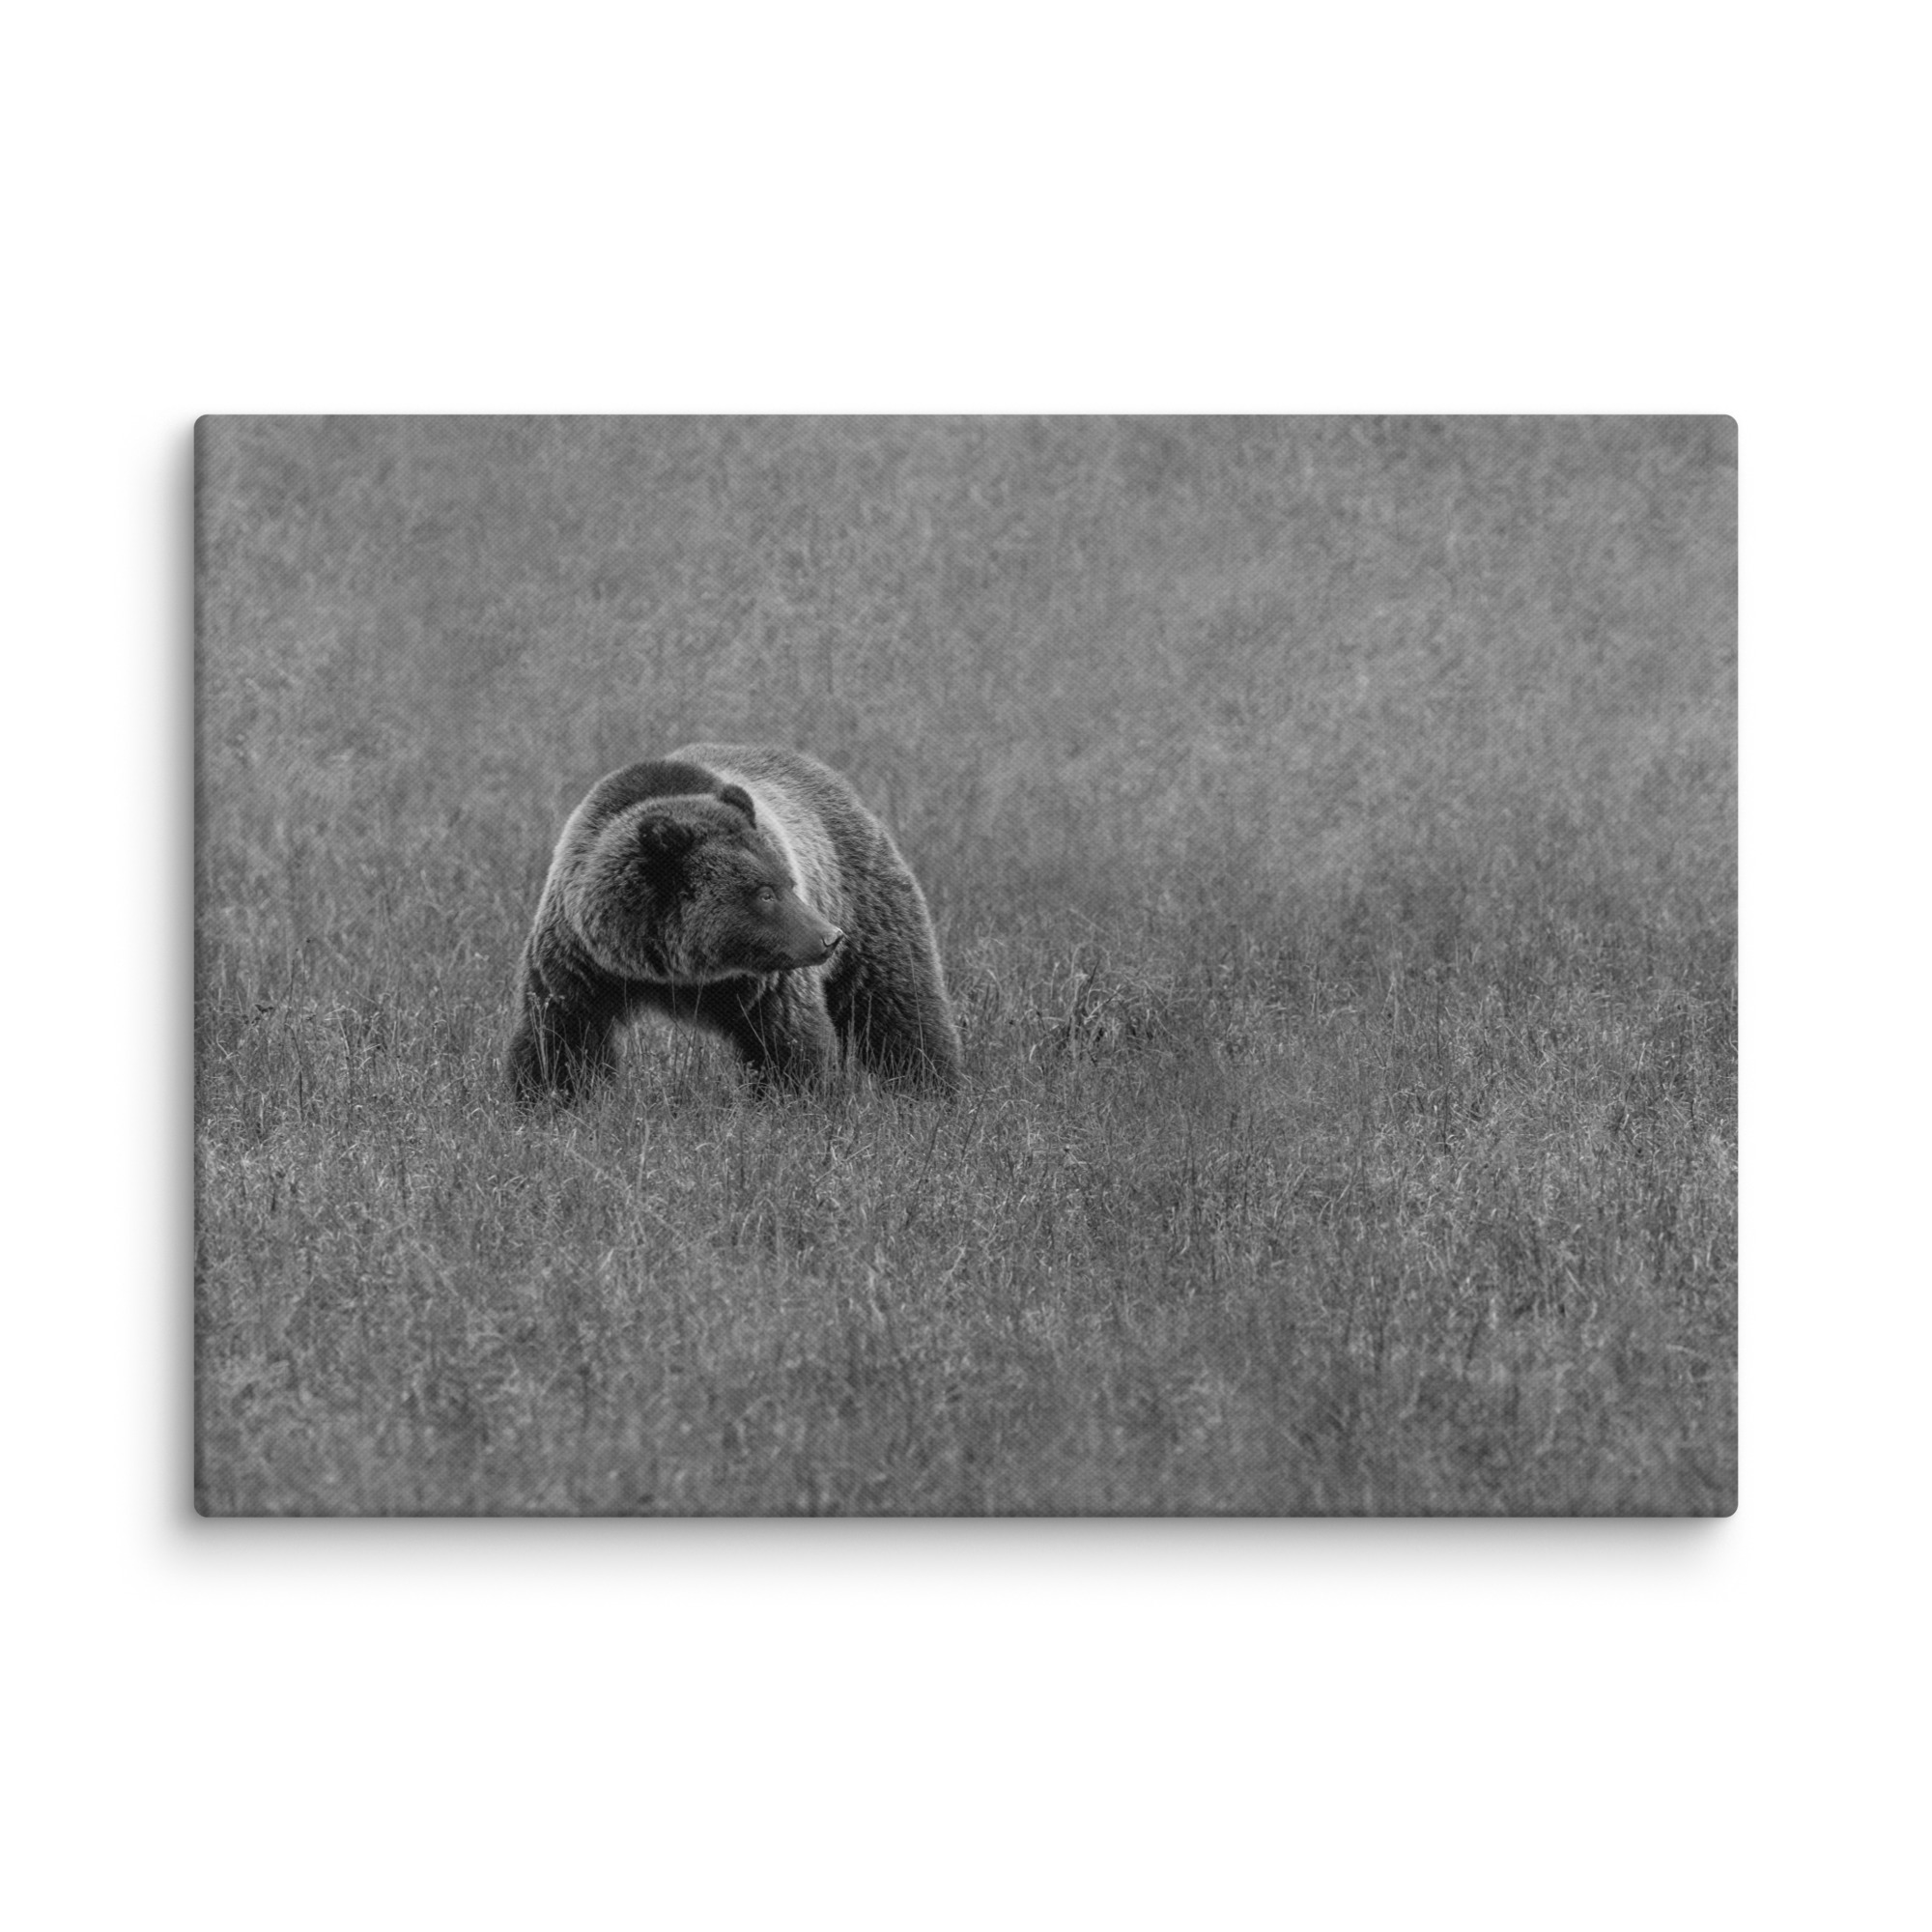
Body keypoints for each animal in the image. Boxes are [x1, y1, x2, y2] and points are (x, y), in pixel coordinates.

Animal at [506, 744, 963, 1104]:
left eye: (788, 882)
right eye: (765, 893)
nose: (829, 938)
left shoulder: (766, 980)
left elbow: (788, 1040)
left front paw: (796, 1102)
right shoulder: (581, 962)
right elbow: (560, 1038)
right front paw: (547, 1101)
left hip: (864, 898)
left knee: (897, 1002)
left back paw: (933, 1089)